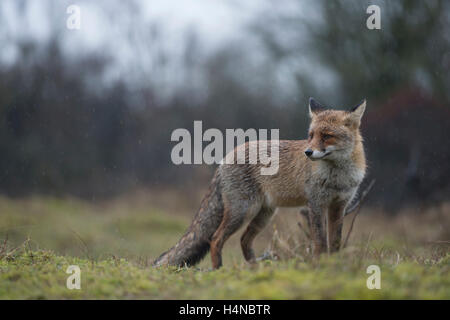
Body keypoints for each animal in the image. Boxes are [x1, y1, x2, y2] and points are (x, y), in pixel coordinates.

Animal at [155, 99, 366, 268]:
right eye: (311, 135)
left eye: (327, 136)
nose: (307, 152)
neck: (337, 177)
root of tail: (225, 158)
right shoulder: (316, 204)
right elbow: (321, 242)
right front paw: (320, 264)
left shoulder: (338, 205)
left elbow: (336, 242)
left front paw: (335, 264)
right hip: (243, 210)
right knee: (215, 239)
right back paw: (218, 269)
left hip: (264, 214)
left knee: (243, 240)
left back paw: (254, 267)